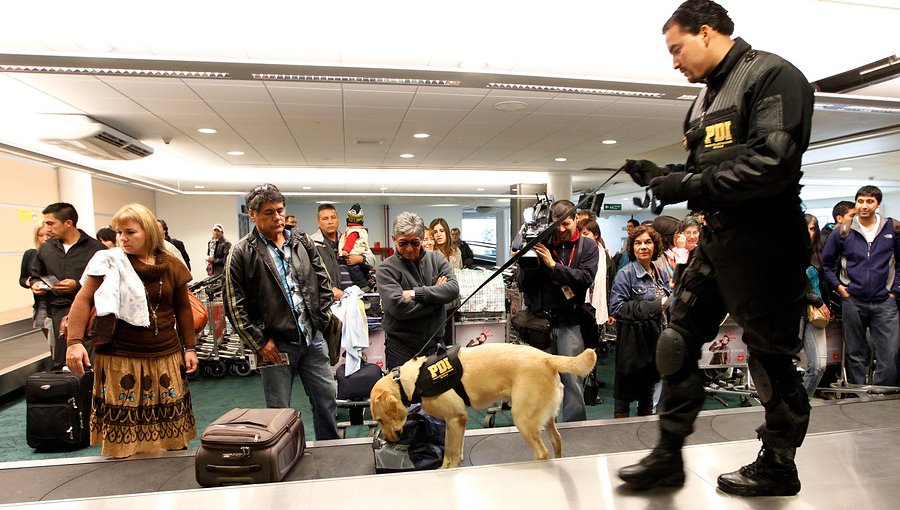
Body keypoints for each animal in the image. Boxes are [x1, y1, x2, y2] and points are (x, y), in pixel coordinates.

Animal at [370, 342, 596, 470]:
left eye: (380, 419)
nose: (387, 440)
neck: (409, 381)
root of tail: (547, 358)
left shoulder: (455, 418)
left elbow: (451, 453)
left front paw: (448, 470)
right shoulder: (455, 422)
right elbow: (453, 450)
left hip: (523, 418)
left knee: (542, 452)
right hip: (546, 416)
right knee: (557, 440)